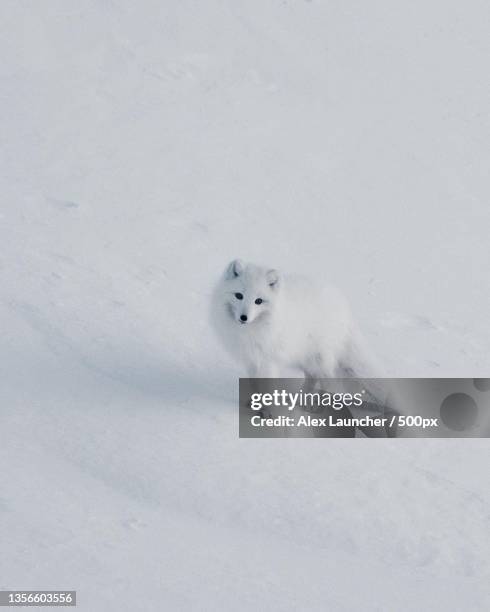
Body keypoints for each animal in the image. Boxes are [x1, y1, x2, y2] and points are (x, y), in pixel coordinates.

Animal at [211, 260, 378, 382]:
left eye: (258, 301)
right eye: (239, 295)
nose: (243, 318)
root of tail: (344, 305)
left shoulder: (267, 360)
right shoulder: (251, 360)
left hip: (319, 357)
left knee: (325, 377)